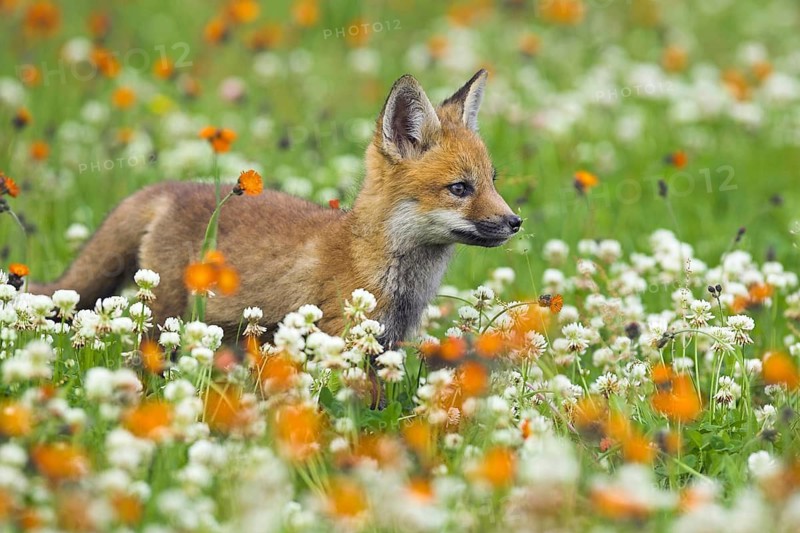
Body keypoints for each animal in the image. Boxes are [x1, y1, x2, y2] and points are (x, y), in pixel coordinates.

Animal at [30, 70, 521, 348]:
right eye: (459, 188)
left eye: (492, 181)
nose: (515, 222)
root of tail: (169, 187)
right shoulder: (341, 335)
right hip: (165, 319)